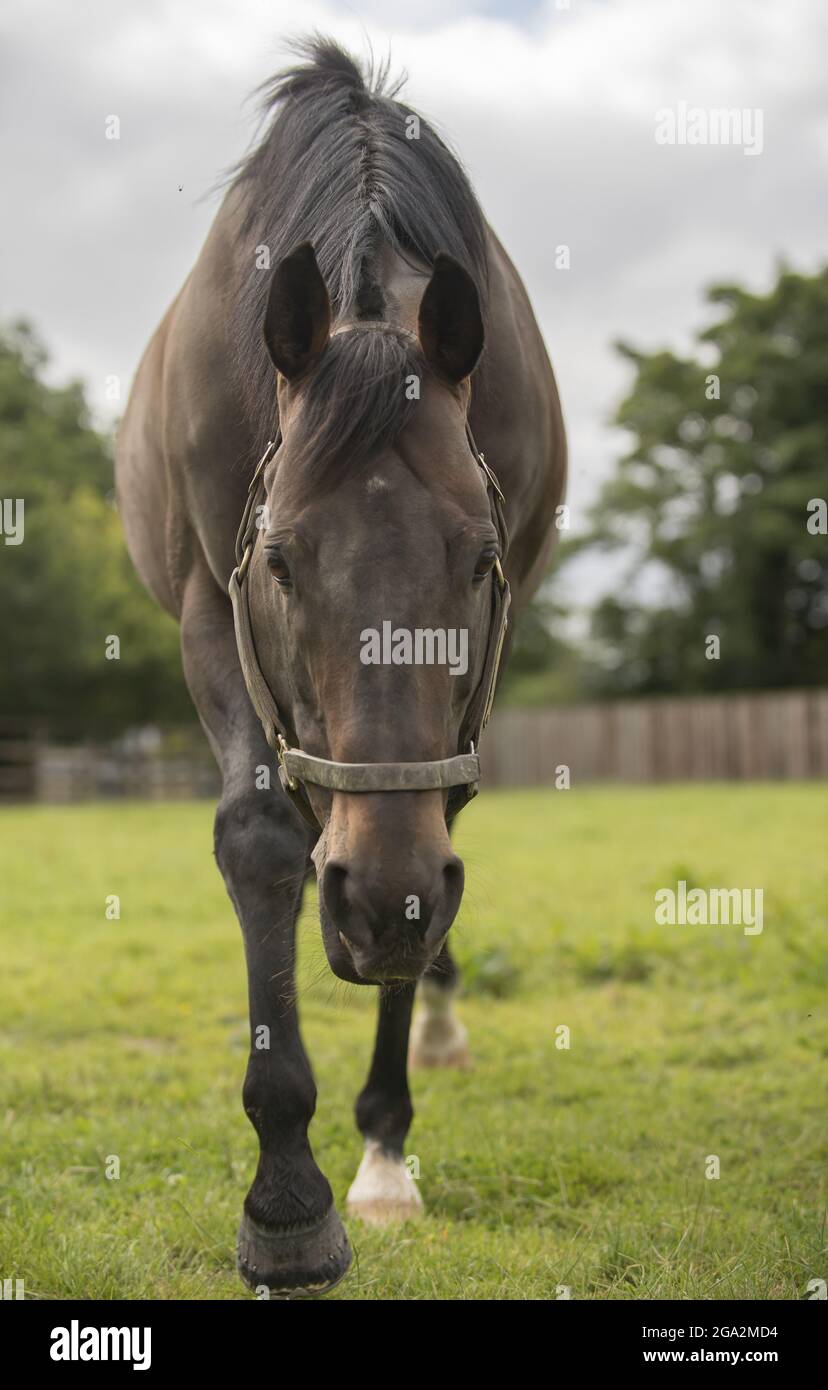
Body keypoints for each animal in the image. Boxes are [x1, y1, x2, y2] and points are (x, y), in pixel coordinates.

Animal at [116, 35, 566, 1289]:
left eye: (478, 558)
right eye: (280, 557)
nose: (372, 906)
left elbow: (435, 842)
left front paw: (379, 1153)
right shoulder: (208, 612)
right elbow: (261, 839)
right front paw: (286, 1202)